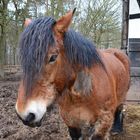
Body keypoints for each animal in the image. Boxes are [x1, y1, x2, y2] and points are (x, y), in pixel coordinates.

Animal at [15, 9, 131, 139]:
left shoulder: (103, 123)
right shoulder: (71, 123)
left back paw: (117, 128)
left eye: (53, 57)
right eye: (23, 59)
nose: (25, 115)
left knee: (119, 110)